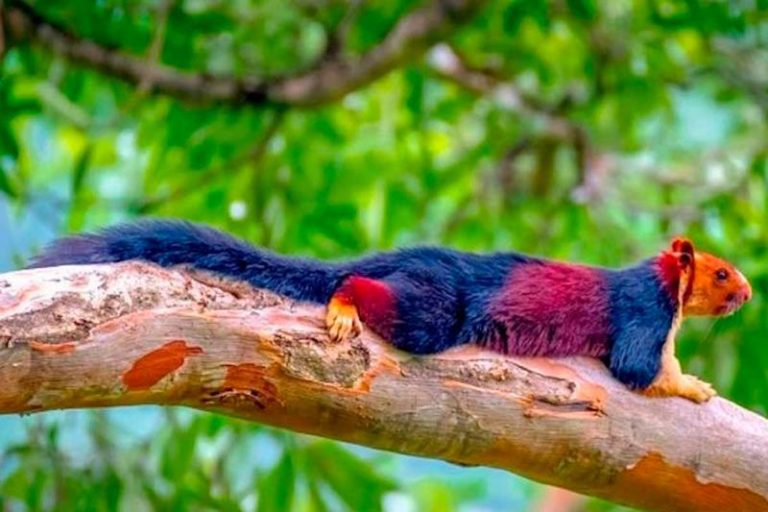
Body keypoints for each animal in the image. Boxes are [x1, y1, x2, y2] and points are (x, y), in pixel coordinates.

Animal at [28, 219, 752, 403]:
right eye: (720, 272)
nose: (747, 293)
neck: (668, 286)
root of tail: (416, 256)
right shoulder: (643, 312)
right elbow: (638, 371)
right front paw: (694, 387)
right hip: (435, 310)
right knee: (364, 287)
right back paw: (345, 303)